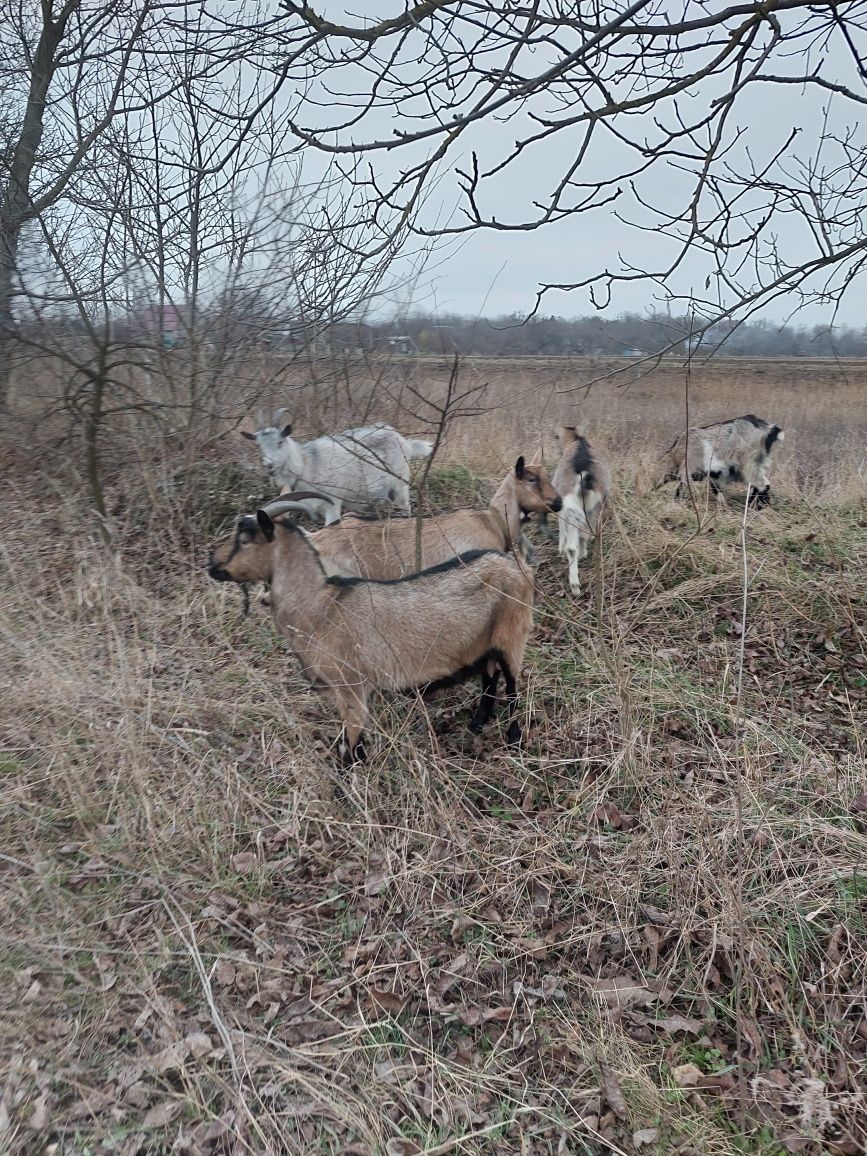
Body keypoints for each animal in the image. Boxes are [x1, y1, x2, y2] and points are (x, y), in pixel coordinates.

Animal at [210, 492, 536, 762]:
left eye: (245, 539)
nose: (211, 565)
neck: (321, 608)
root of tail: (516, 565)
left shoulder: (351, 688)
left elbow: (348, 745)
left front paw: (346, 788)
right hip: (485, 644)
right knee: (490, 679)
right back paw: (477, 725)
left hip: (513, 635)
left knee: (511, 687)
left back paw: (514, 739)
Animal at [239, 413, 432, 527]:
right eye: (259, 446)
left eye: (280, 442)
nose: (269, 466)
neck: (308, 464)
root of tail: (404, 440)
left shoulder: (332, 503)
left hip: (400, 485)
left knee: (405, 507)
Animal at [550, 425, 610, 596]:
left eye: (556, 437)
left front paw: (560, 548)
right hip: (596, 507)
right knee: (586, 533)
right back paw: (584, 554)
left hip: (570, 509)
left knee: (572, 547)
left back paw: (575, 586)